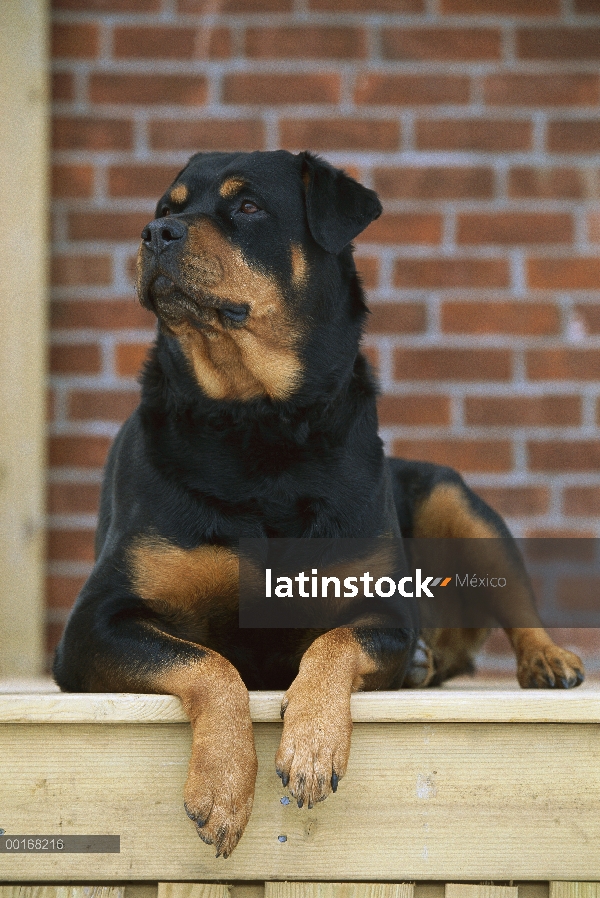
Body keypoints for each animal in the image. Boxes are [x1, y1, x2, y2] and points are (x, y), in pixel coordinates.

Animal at [54, 150, 584, 856]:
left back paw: (545, 657)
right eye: (168, 208)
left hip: (455, 500)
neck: (257, 424)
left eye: (247, 206)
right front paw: (223, 783)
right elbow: (206, 661)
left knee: (513, 596)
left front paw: (310, 745)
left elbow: (334, 642)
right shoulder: (94, 625)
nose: (154, 233)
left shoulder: (386, 612)